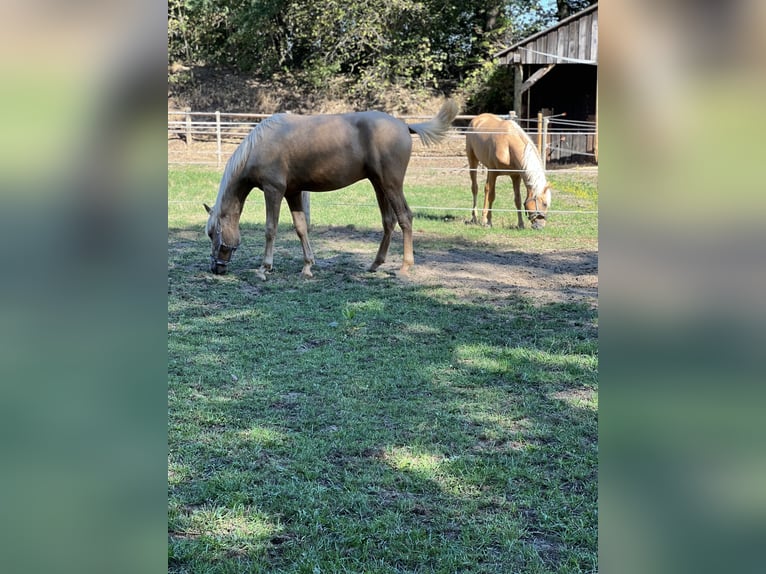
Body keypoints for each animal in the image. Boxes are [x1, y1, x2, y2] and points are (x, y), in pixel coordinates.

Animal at [202, 99, 462, 280]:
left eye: (212, 233)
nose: (216, 268)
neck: (260, 145)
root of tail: (405, 125)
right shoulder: (293, 193)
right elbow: (301, 228)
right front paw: (307, 267)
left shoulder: (273, 190)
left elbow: (270, 229)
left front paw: (264, 269)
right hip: (379, 185)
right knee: (388, 221)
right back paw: (375, 264)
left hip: (392, 185)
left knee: (405, 218)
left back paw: (405, 267)